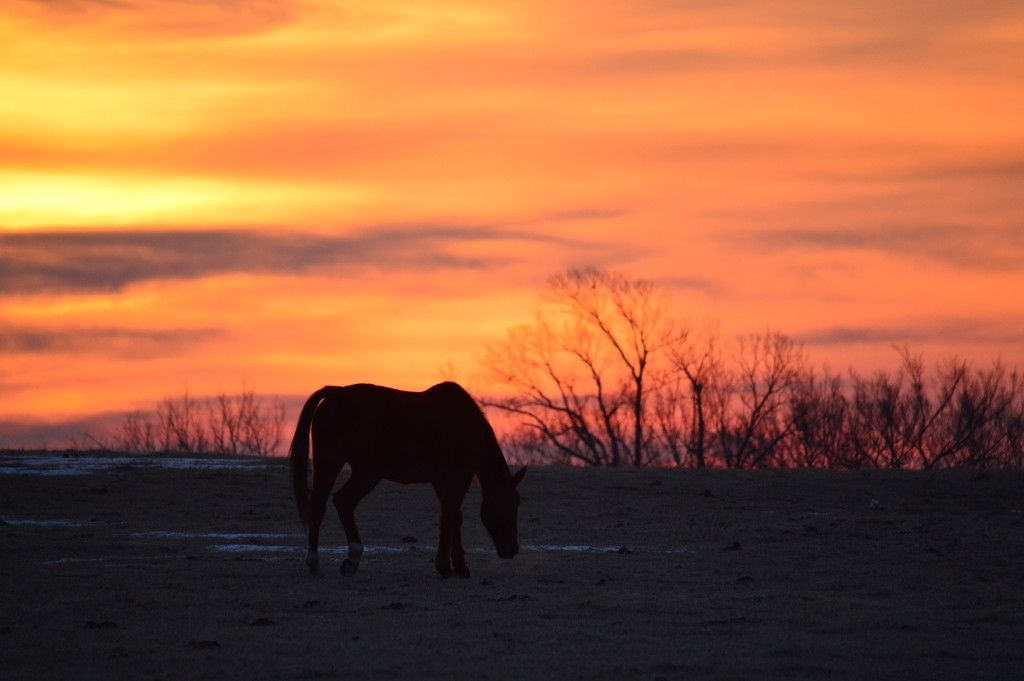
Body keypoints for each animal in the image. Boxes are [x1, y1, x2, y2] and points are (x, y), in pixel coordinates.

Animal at [290, 378, 524, 577]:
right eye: (514, 503)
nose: (512, 549)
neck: (468, 424)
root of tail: (336, 393)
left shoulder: (441, 480)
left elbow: (452, 516)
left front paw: (455, 566)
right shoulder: (459, 476)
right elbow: (451, 516)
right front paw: (449, 567)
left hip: (329, 462)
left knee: (318, 506)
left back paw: (315, 565)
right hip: (365, 473)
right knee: (343, 501)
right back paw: (352, 559)